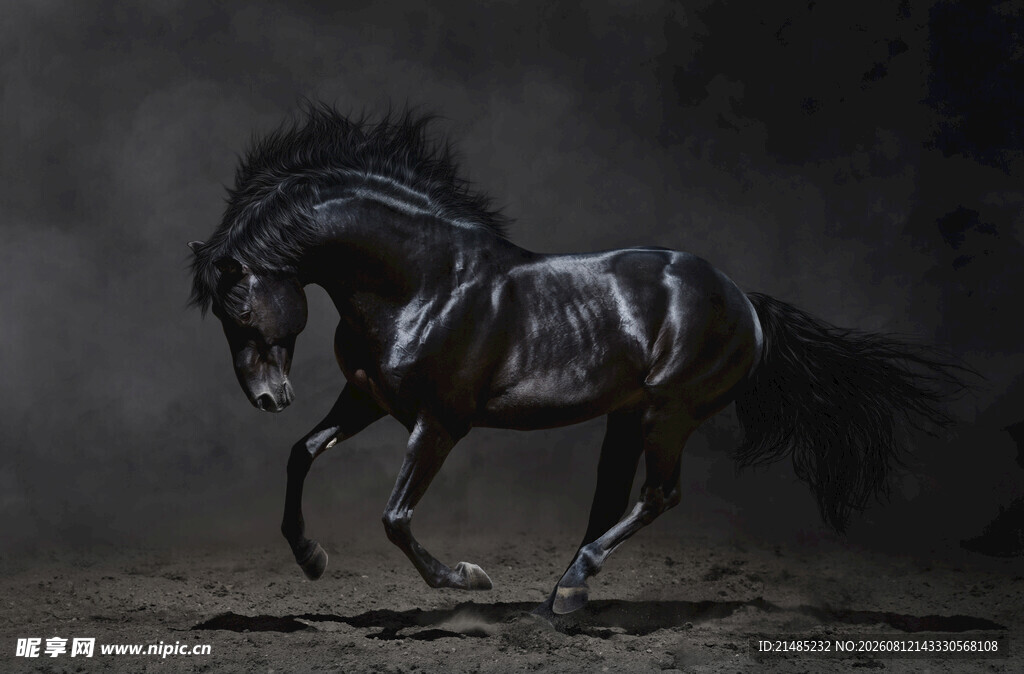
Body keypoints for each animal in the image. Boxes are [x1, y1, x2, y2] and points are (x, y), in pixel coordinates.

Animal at [188, 105, 966, 615]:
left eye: (240, 307)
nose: (267, 397)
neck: (425, 283)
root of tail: (745, 300)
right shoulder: (369, 399)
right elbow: (301, 453)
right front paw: (311, 558)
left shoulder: (438, 423)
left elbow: (396, 517)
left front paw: (468, 579)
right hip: (629, 416)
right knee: (613, 500)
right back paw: (565, 593)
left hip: (670, 412)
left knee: (658, 496)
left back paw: (569, 587)